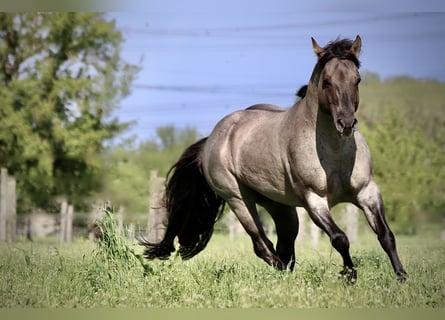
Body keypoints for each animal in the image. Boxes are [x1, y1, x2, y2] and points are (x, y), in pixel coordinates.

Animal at [139, 35, 406, 282]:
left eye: (357, 80)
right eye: (327, 82)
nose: (346, 124)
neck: (335, 154)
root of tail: (214, 138)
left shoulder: (367, 192)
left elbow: (386, 236)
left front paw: (401, 277)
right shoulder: (315, 200)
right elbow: (340, 239)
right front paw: (349, 274)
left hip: (281, 207)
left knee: (284, 245)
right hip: (239, 200)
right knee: (263, 245)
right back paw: (283, 276)